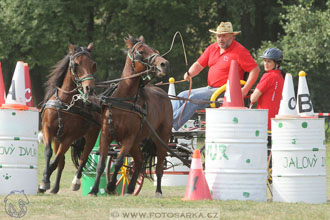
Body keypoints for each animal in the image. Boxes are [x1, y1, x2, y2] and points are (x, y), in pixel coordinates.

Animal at [38, 43, 100, 194]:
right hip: (57, 139)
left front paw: (44, 181)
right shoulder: (48, 129)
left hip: (91, 136)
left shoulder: (69, 137)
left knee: (83, 158)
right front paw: (44, 181)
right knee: (62, 161)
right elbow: (49, 154)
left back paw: (75, 182)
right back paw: (55, 187)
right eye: (76, 64)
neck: (65, 103)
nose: (89, 88)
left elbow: (55, 161)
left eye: (93, 65)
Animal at [89, 36, 173, 198]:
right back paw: (130, 188)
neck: (124, 100)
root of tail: (164, 94)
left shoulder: (128, 137)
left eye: (155, 50)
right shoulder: (106, 135)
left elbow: (118, 162)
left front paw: (110, 186)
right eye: (141, 51)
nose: (164, 64)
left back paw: (158, 191)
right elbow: (101, 164)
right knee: (139, 162)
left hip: (161, 139)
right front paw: (94, 190)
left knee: (159, 166)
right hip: (136, 142)